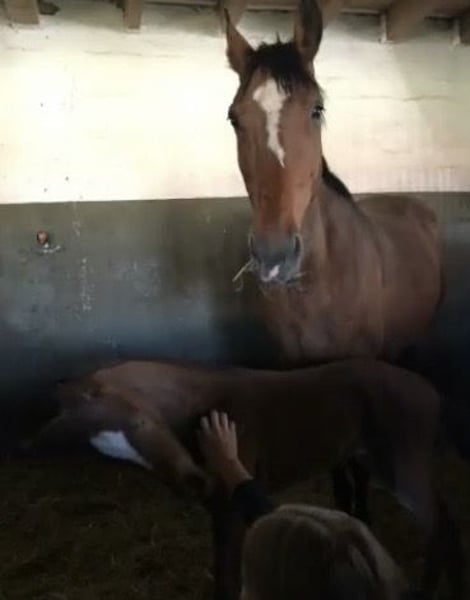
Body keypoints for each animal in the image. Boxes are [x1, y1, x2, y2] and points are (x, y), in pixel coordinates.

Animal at [30, 358, 464, 600]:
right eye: (127, 462)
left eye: (141, 421)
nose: (194, 481)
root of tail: (432, 393)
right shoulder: (217, 508)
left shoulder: (230, 510)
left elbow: (227, 574)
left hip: (401, 468)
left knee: (440, 522)